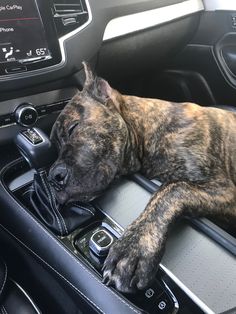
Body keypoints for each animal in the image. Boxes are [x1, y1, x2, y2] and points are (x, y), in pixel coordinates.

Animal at [48, 62, 236, 294]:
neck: (146, 130)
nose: (53, 176)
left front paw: (133, 248)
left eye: (73, 128)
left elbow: (172, 189)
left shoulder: (223, 188)